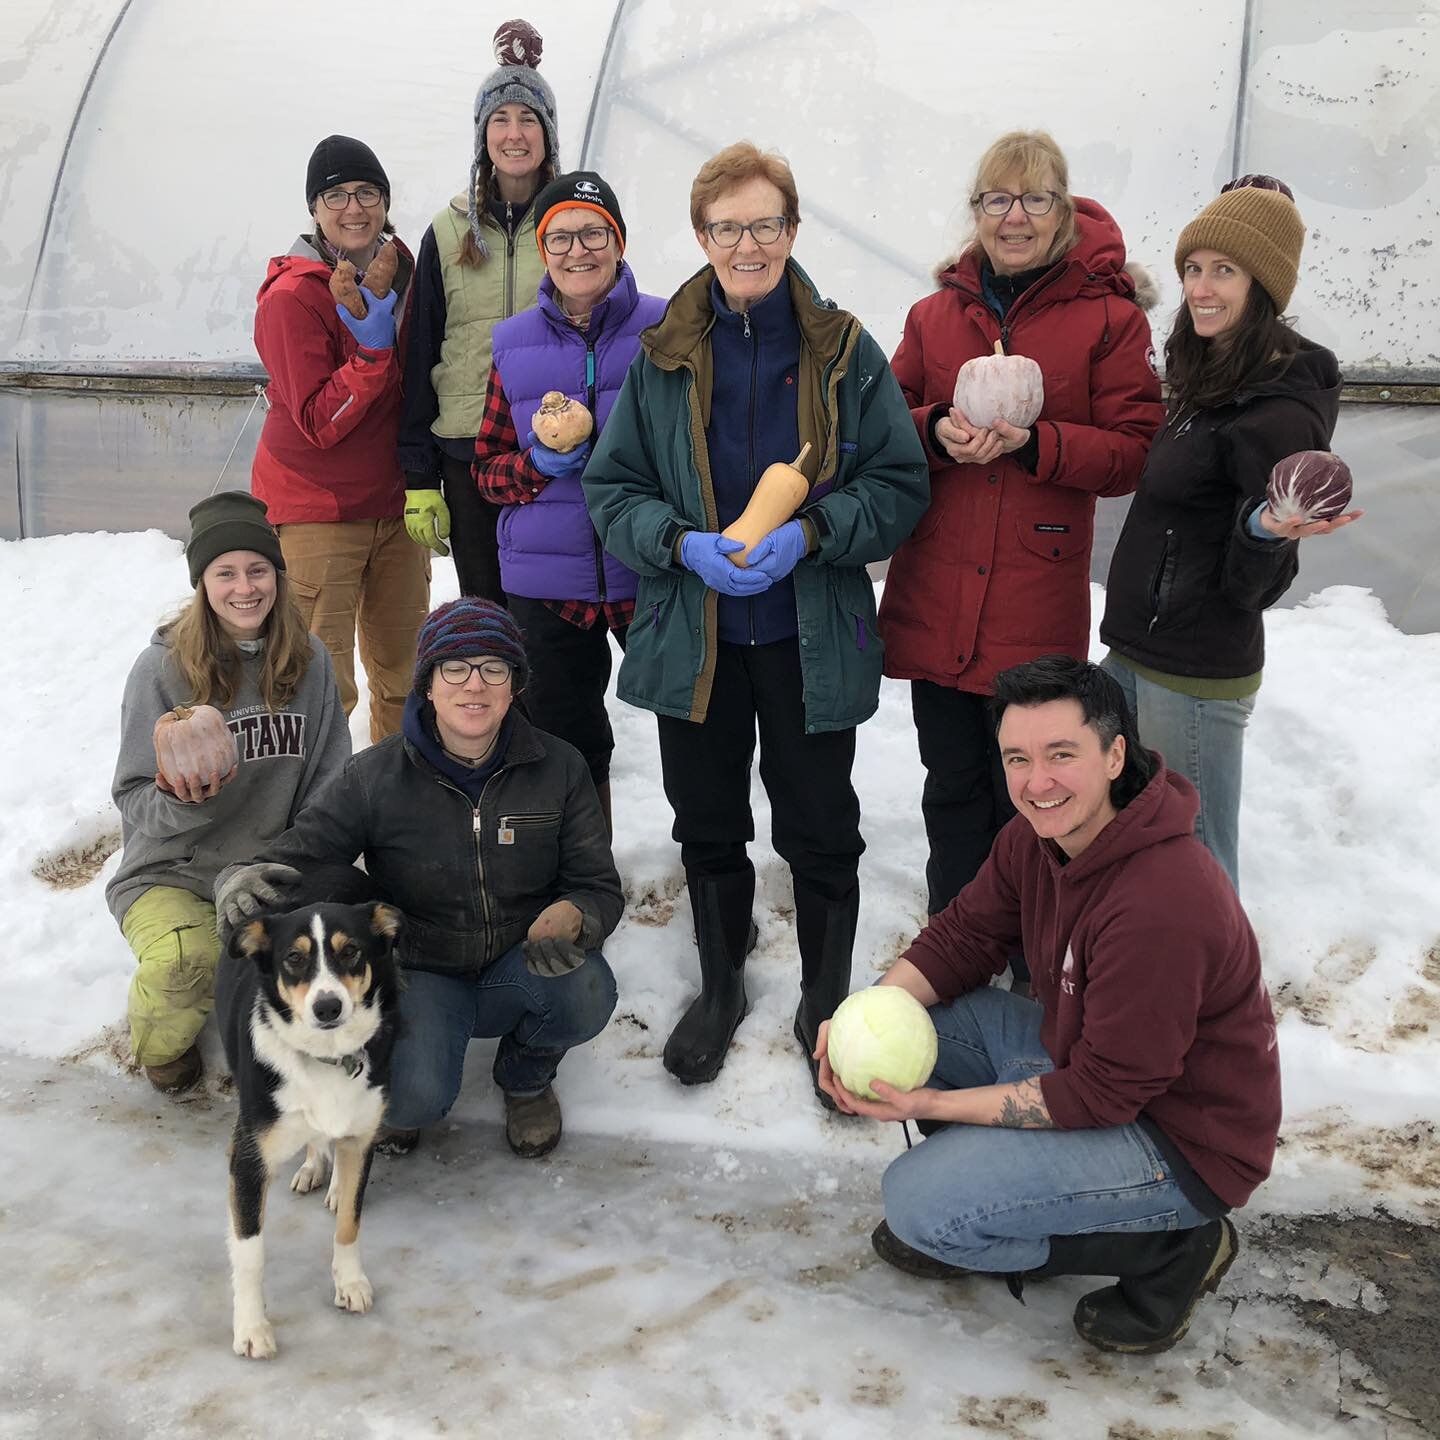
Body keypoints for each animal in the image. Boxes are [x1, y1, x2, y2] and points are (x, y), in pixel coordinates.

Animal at [210, 864, 400, 1359]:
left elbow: (351, 1222)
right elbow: (251, 1253)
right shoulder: (248, 1160)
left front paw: (349, 1282)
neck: (325, 1056)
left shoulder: (362, 1136)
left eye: (350, 951)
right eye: (293, 959)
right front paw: (251, 1328)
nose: (328, 1006)